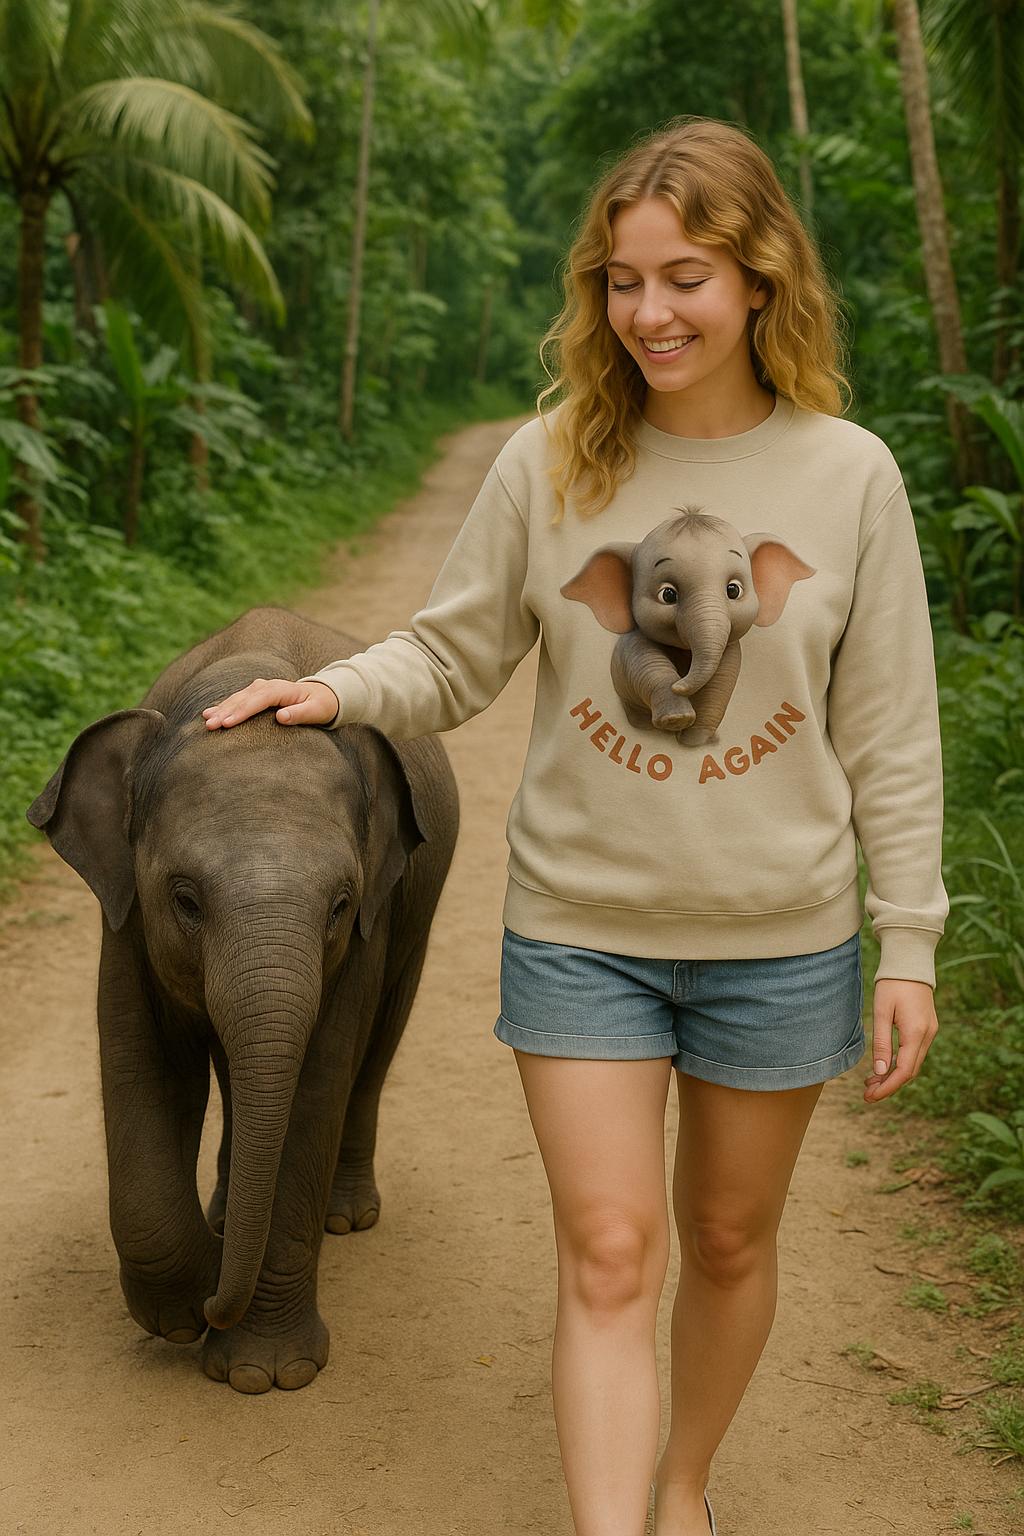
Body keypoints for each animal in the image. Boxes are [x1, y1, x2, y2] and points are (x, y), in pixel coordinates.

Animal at [25, 605, 459, 1394]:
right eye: (186, 899)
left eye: (340, 905)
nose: (211, 1308)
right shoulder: (124, 911)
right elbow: (141, 1063)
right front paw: (182, 1307)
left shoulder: (368, 928)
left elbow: (315, 1087)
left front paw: (265, 1375)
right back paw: (228, 1223)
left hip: (418, 910)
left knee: (375, 1052)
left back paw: (344, 1218)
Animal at [561, 506, 815, 747]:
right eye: (668, 594)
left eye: (733, 590)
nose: (680, 683)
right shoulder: (633, 645)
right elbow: (649, 666)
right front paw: (676, 718)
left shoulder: (730, 650)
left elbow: (719, 686)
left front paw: (695, 740)